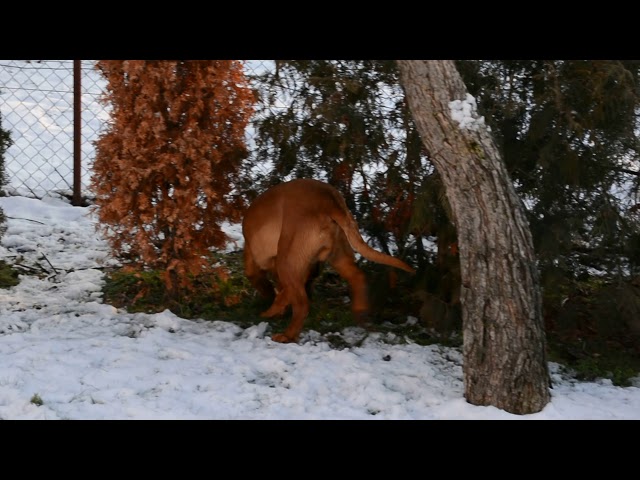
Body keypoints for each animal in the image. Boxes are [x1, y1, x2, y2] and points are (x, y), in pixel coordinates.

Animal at [241, 178, 416, 344]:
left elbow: (269, 287)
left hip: (288, 261)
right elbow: (285, 292)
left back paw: (287, 335)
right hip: (338, 254)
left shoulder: (255, 262)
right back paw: (361, 315)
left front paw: (270, 310)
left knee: (302, 305)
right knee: (358, 277)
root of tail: (328, 200)